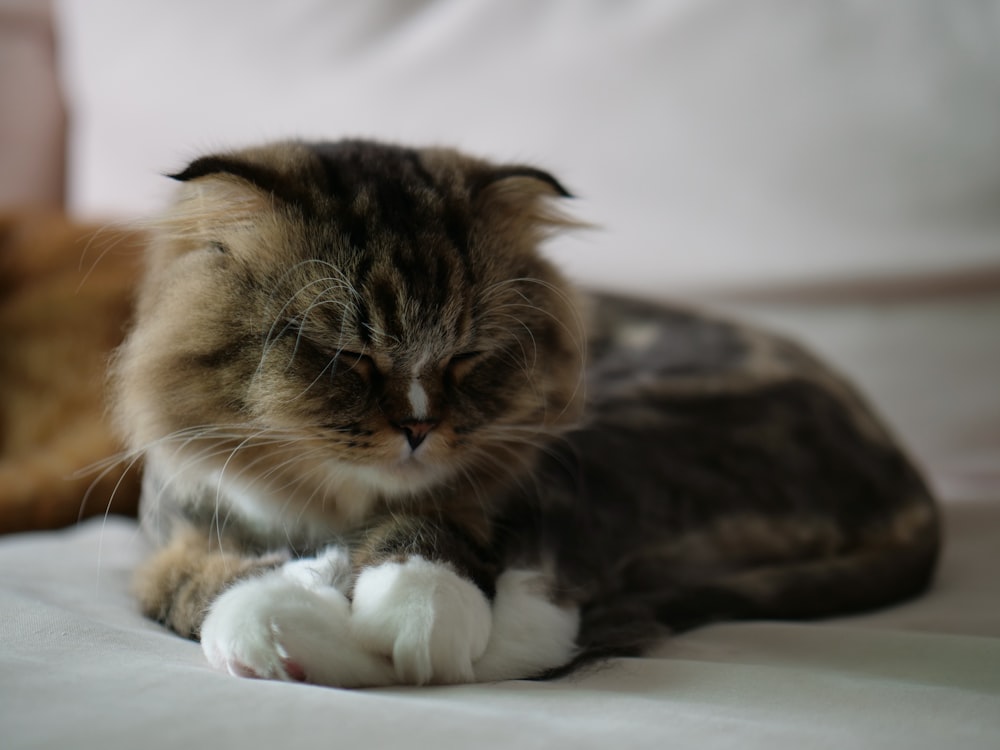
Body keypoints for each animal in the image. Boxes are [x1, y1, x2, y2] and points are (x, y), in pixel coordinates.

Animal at [121, 140, 940, 688]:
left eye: (466, 356)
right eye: (346, 356)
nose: (418, 428)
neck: (336, 512)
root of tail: (915, 489)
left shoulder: (492, 485)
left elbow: (444, 541)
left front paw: (411, 618)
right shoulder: (174, 521)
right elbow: (194, 582)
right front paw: (281, 617)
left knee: (553, 615)